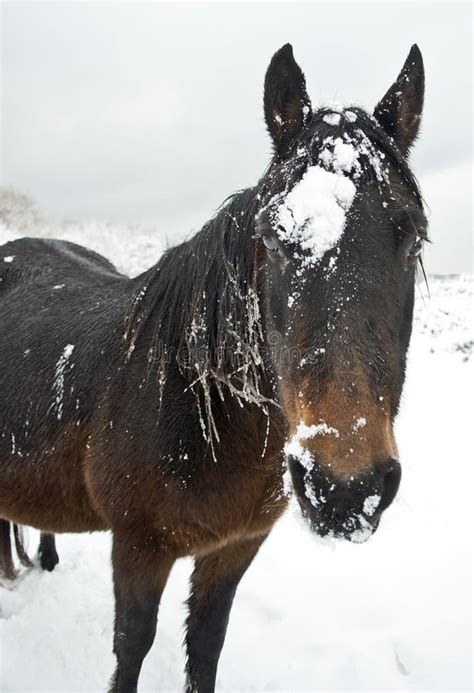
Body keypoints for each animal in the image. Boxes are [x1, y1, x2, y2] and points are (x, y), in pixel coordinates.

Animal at [0, 44, 428, 692]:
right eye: (274, 239)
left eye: (415, 240)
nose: (343, 489)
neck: (195, 405)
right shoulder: (138, 547)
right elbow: (132, 646)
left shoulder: (235, 547)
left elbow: (205, 645)